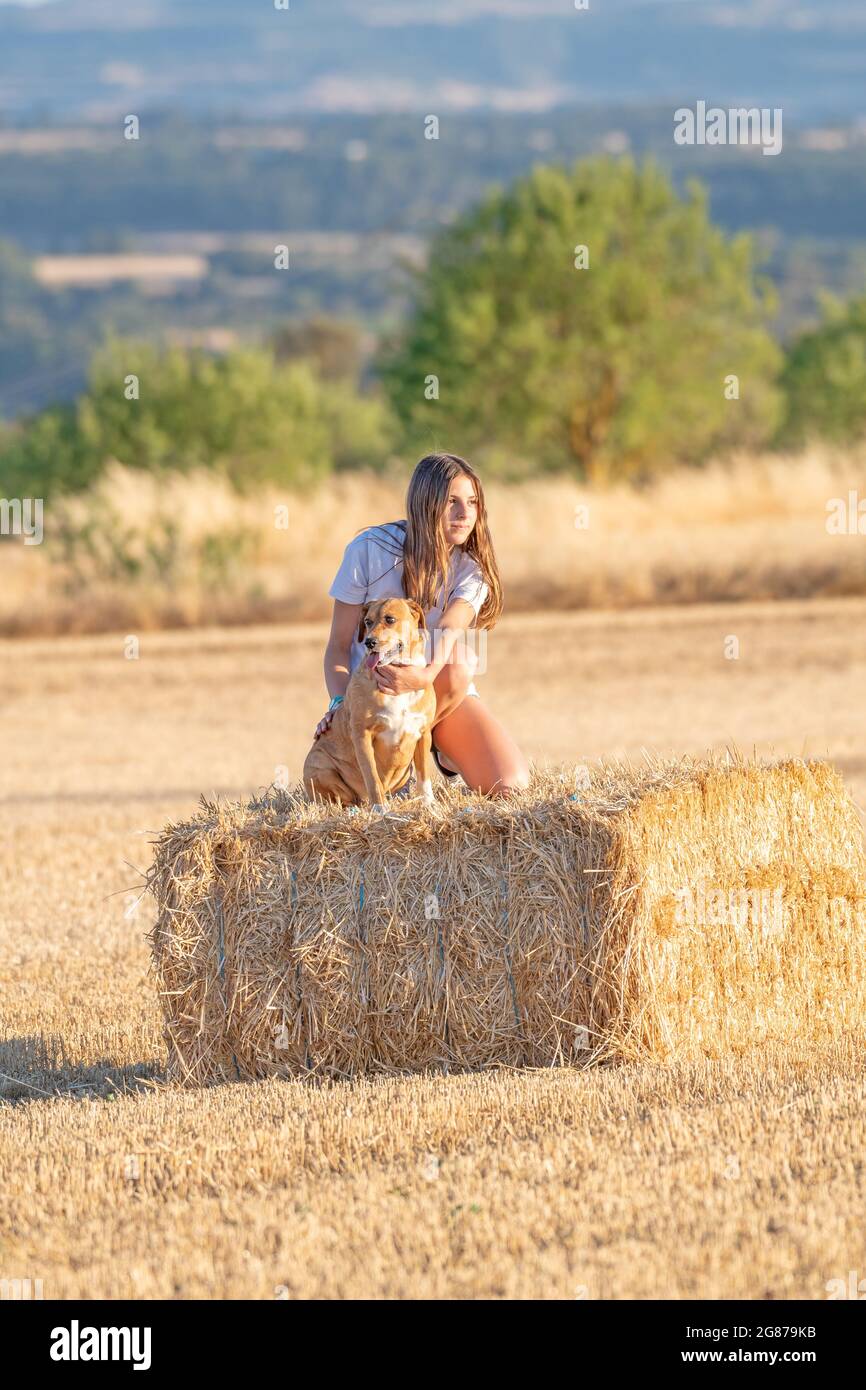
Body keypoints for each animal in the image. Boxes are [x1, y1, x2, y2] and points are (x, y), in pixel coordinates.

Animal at [304, 600, 439, 811]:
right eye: (367, 621)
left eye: (390, 619)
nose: (369, 642)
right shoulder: (363, 735)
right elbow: (372, 776)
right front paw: (381, 808)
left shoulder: (423, 733)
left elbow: (424, 775)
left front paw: (428, 803)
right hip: (319, 764)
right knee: (342, 797)